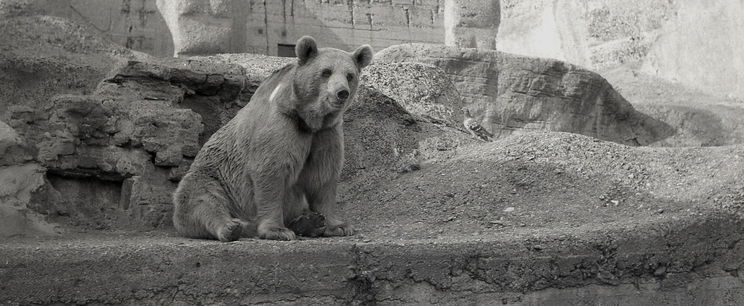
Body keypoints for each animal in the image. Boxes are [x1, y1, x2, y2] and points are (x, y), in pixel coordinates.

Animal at [173, 36, 372, 241]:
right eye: (326, 72)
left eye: (350, 75)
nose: (341, 93)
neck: (307, 120)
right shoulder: (282, 125)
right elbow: (271, 171)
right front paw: (277, 230)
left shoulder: (325, 133)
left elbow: (323, 175)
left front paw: (338, 226)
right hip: (215, 177)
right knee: (202, 199)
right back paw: (231, 227)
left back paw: (309, 222)